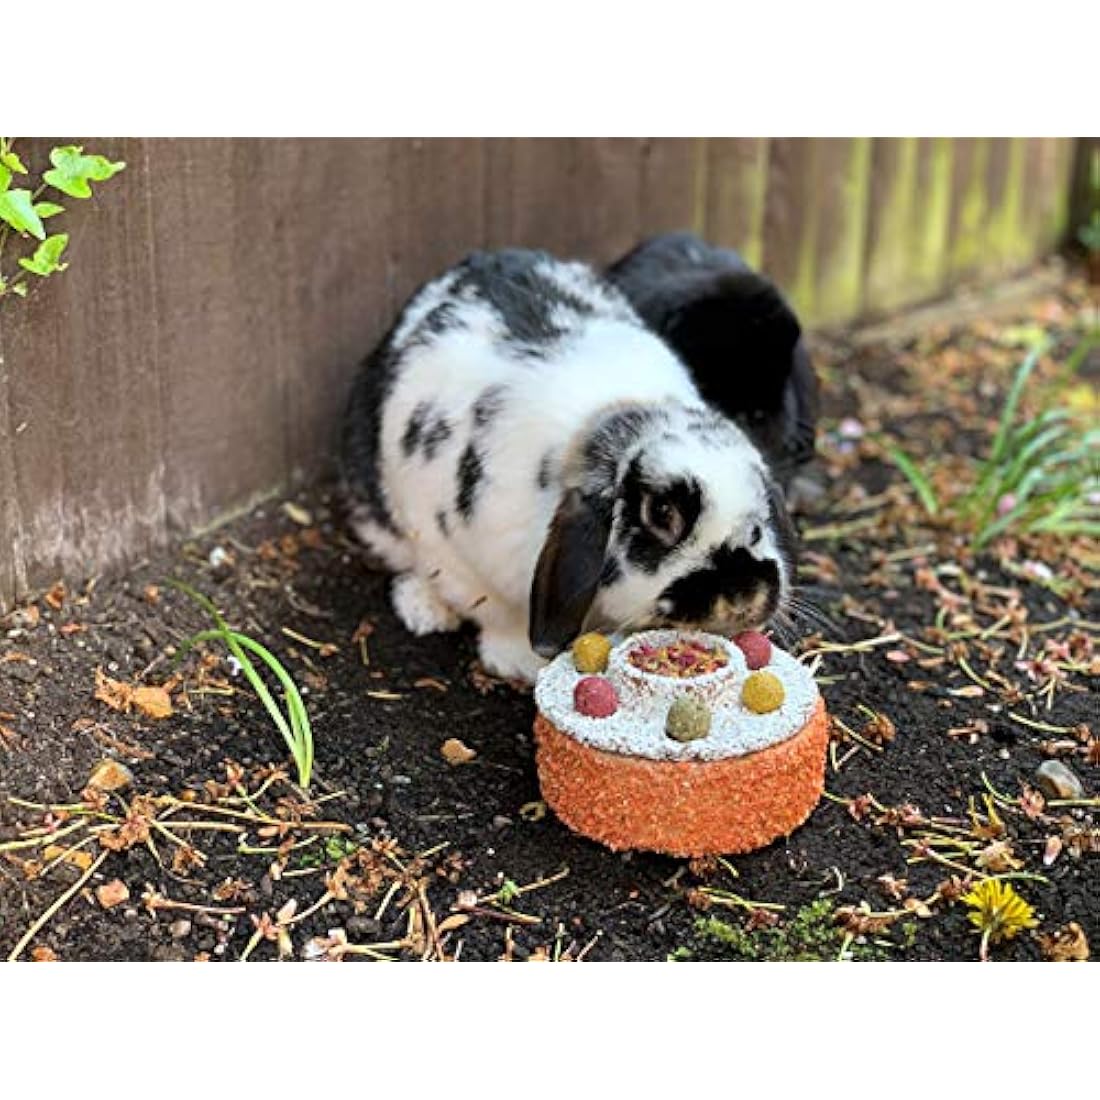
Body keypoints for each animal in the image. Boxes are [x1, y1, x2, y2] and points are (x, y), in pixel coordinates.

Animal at [341, 248, 798, 684]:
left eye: (757, 528)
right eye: (661, 514)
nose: (744, 596)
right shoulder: (454, 552)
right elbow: (493, 611)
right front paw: (518, 661)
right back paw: (424, 609)